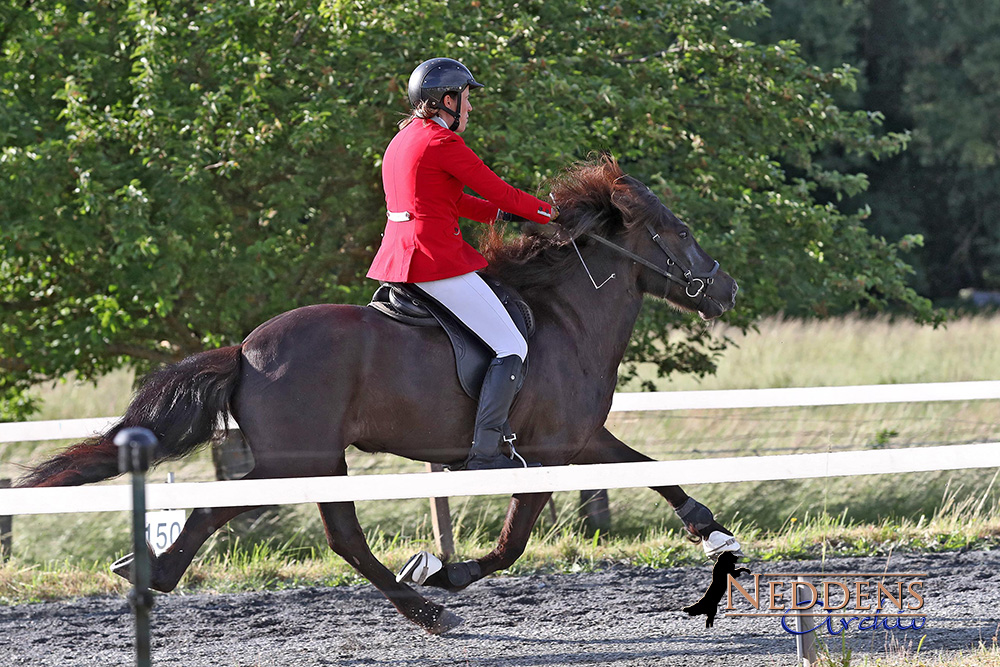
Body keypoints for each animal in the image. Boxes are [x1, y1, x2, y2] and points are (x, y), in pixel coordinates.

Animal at [19, 157, 740, 636]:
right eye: (678, 231)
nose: (726, 289)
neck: (565, 316)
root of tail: (246, 350)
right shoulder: (549, 452)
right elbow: (513, 542)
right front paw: (446, 572)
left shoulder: (581, 438)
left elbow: (654, 472)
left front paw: (714, 532)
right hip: (300, 458)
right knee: (268, 520)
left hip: (315, 460)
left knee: (334, 535)